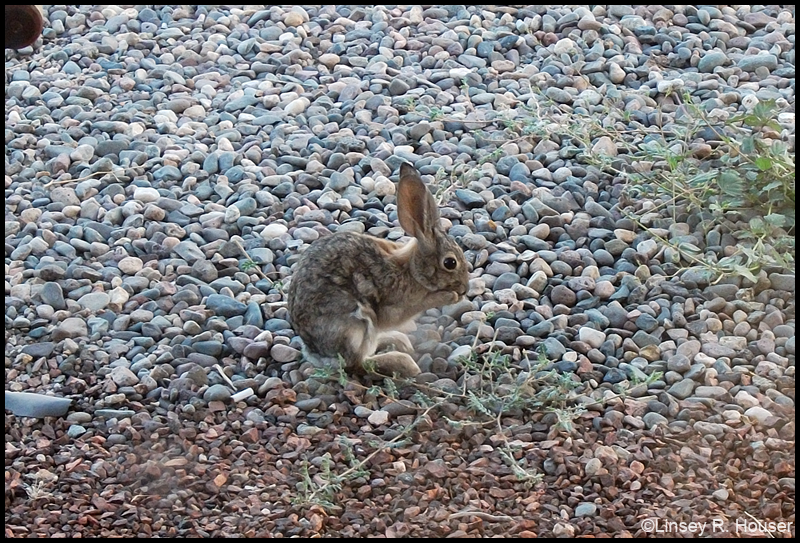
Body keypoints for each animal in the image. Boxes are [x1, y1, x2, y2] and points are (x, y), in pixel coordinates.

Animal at [288, 162, 468, 378]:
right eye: (450, 263)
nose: (465, 289)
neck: (412, 270)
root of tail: (315, 353)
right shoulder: (395, 306)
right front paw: (449, 297)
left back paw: (400, 342)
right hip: (356, 326)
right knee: (358, 363)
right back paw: (405, 363)